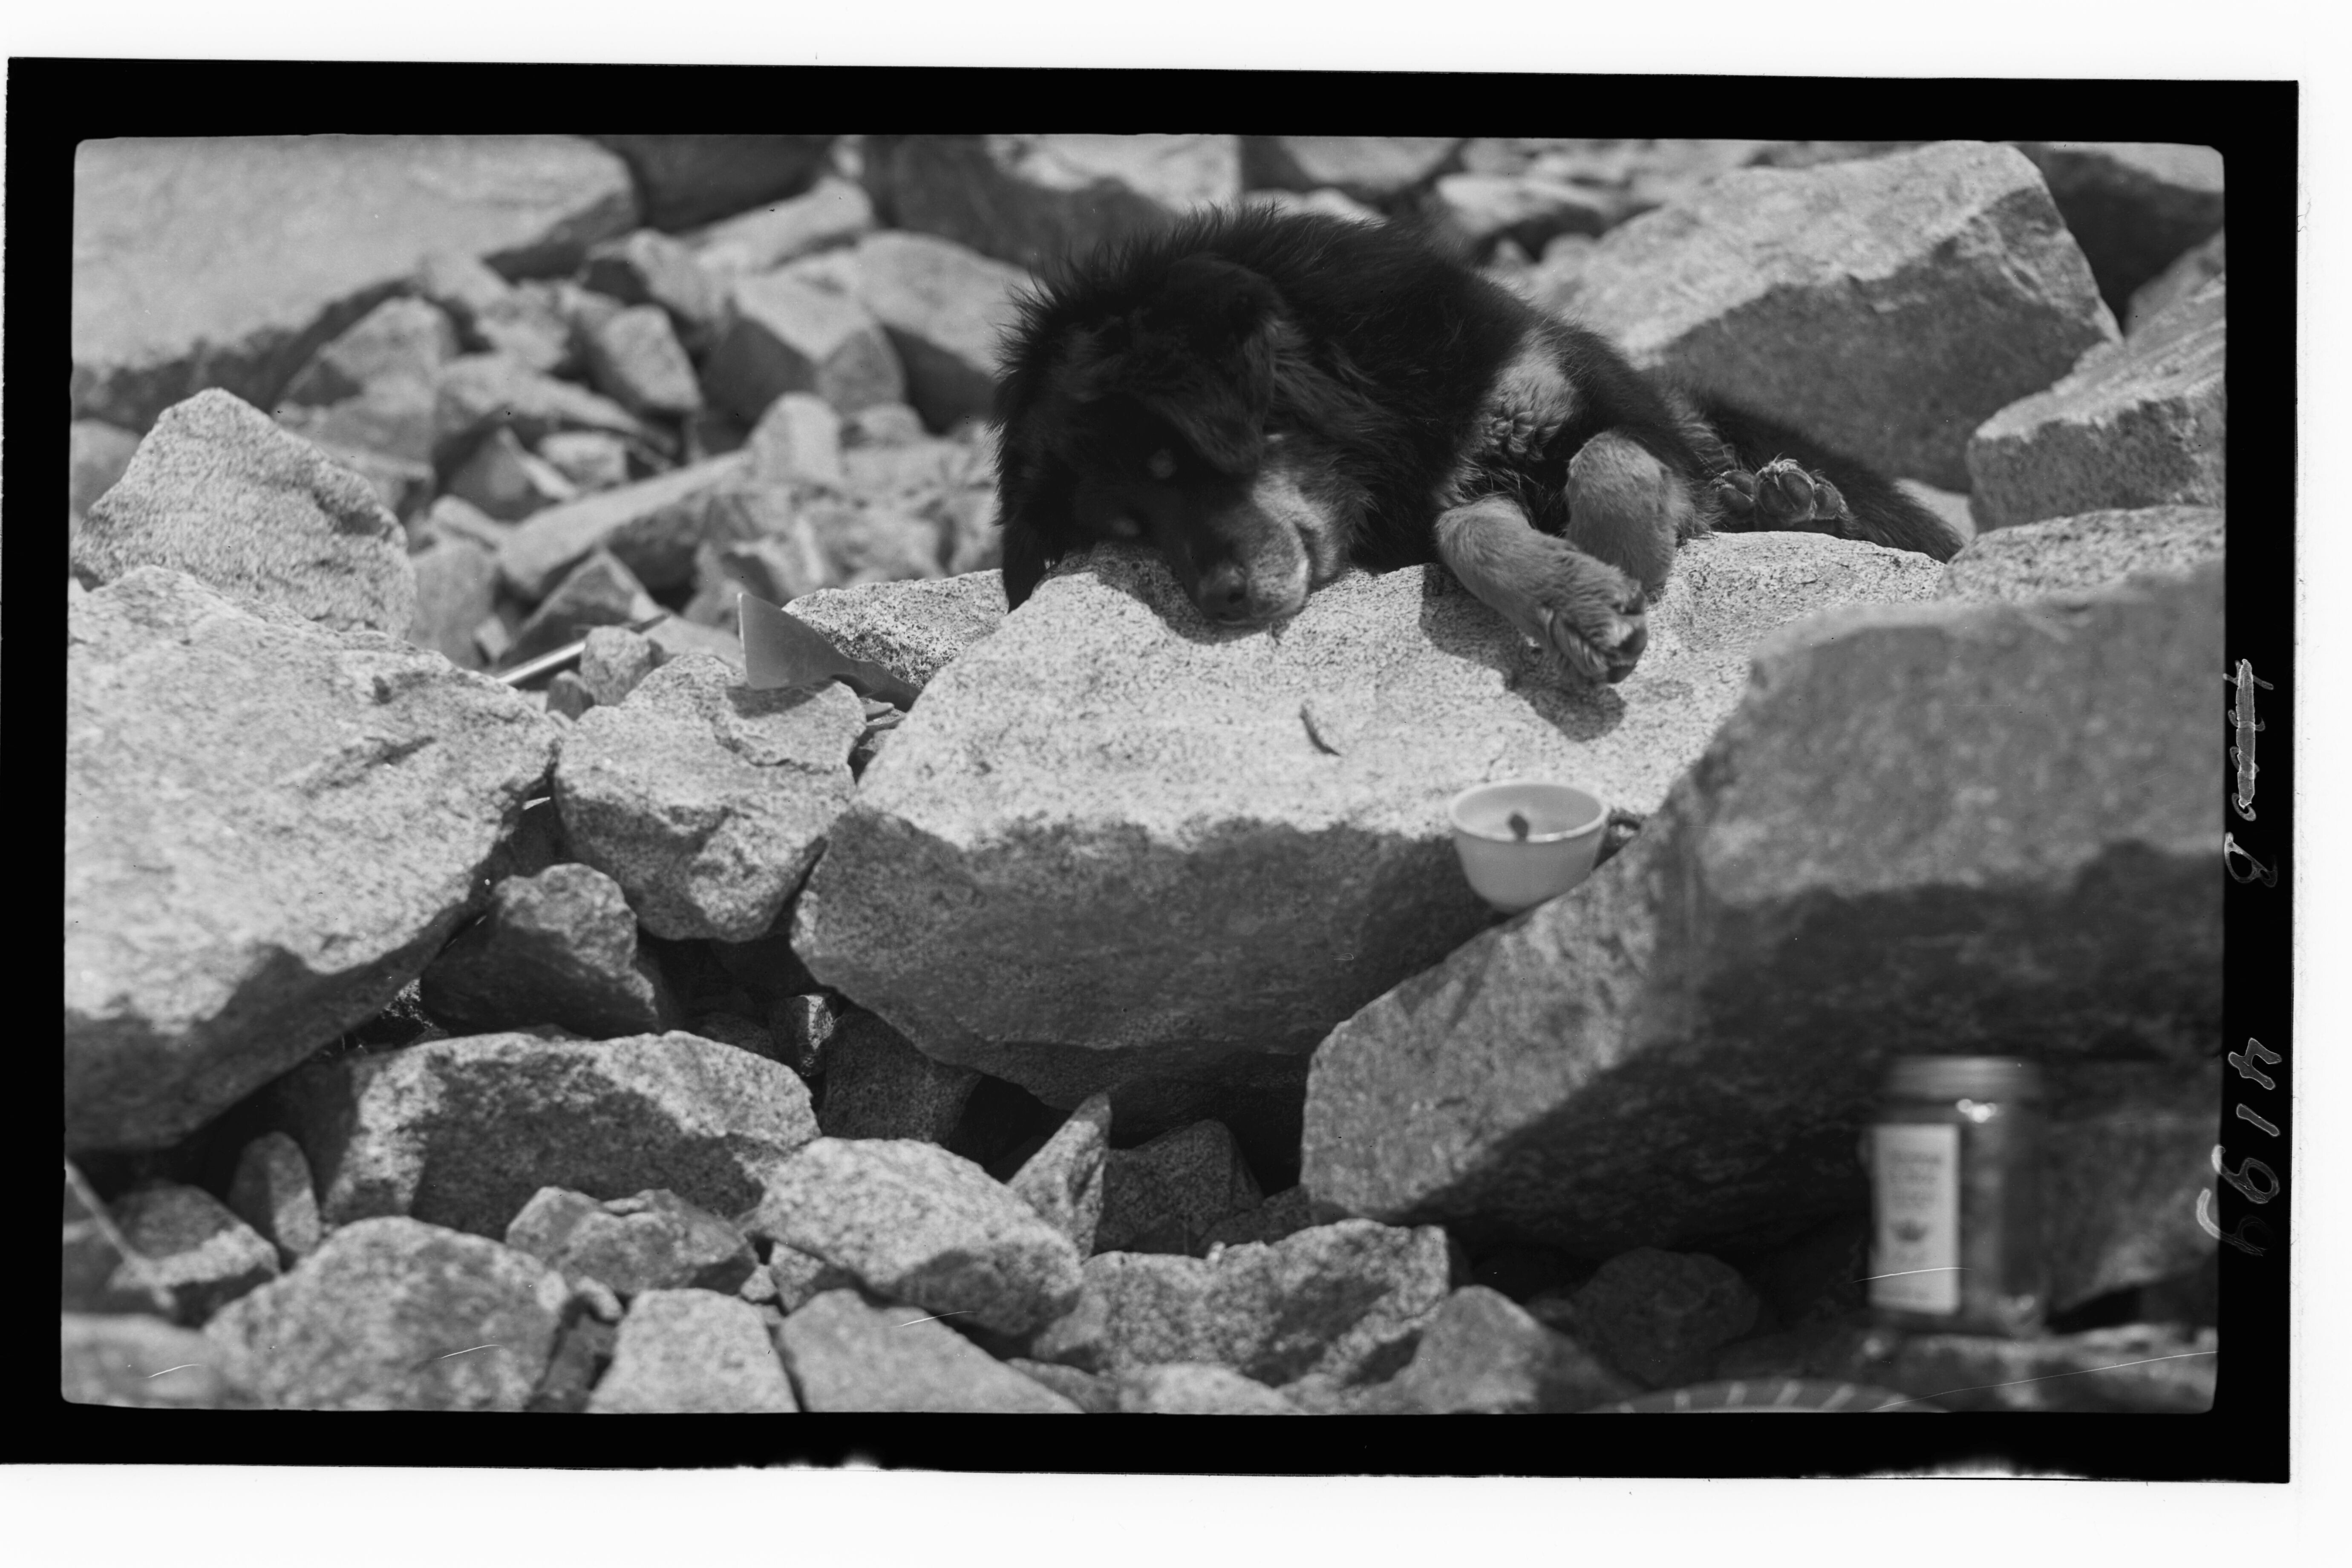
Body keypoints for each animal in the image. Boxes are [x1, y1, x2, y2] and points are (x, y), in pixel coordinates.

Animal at [991, 206, 1963, 683]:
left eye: (1178, 464)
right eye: (1129, 528)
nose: (1222, 603)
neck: (1388, 413)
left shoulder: (1596, 395)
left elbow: (1607, 461)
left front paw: (1618, 566)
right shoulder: (1440, 505)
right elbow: (1469, 534)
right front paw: (1575, 601)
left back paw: (1792, 498)